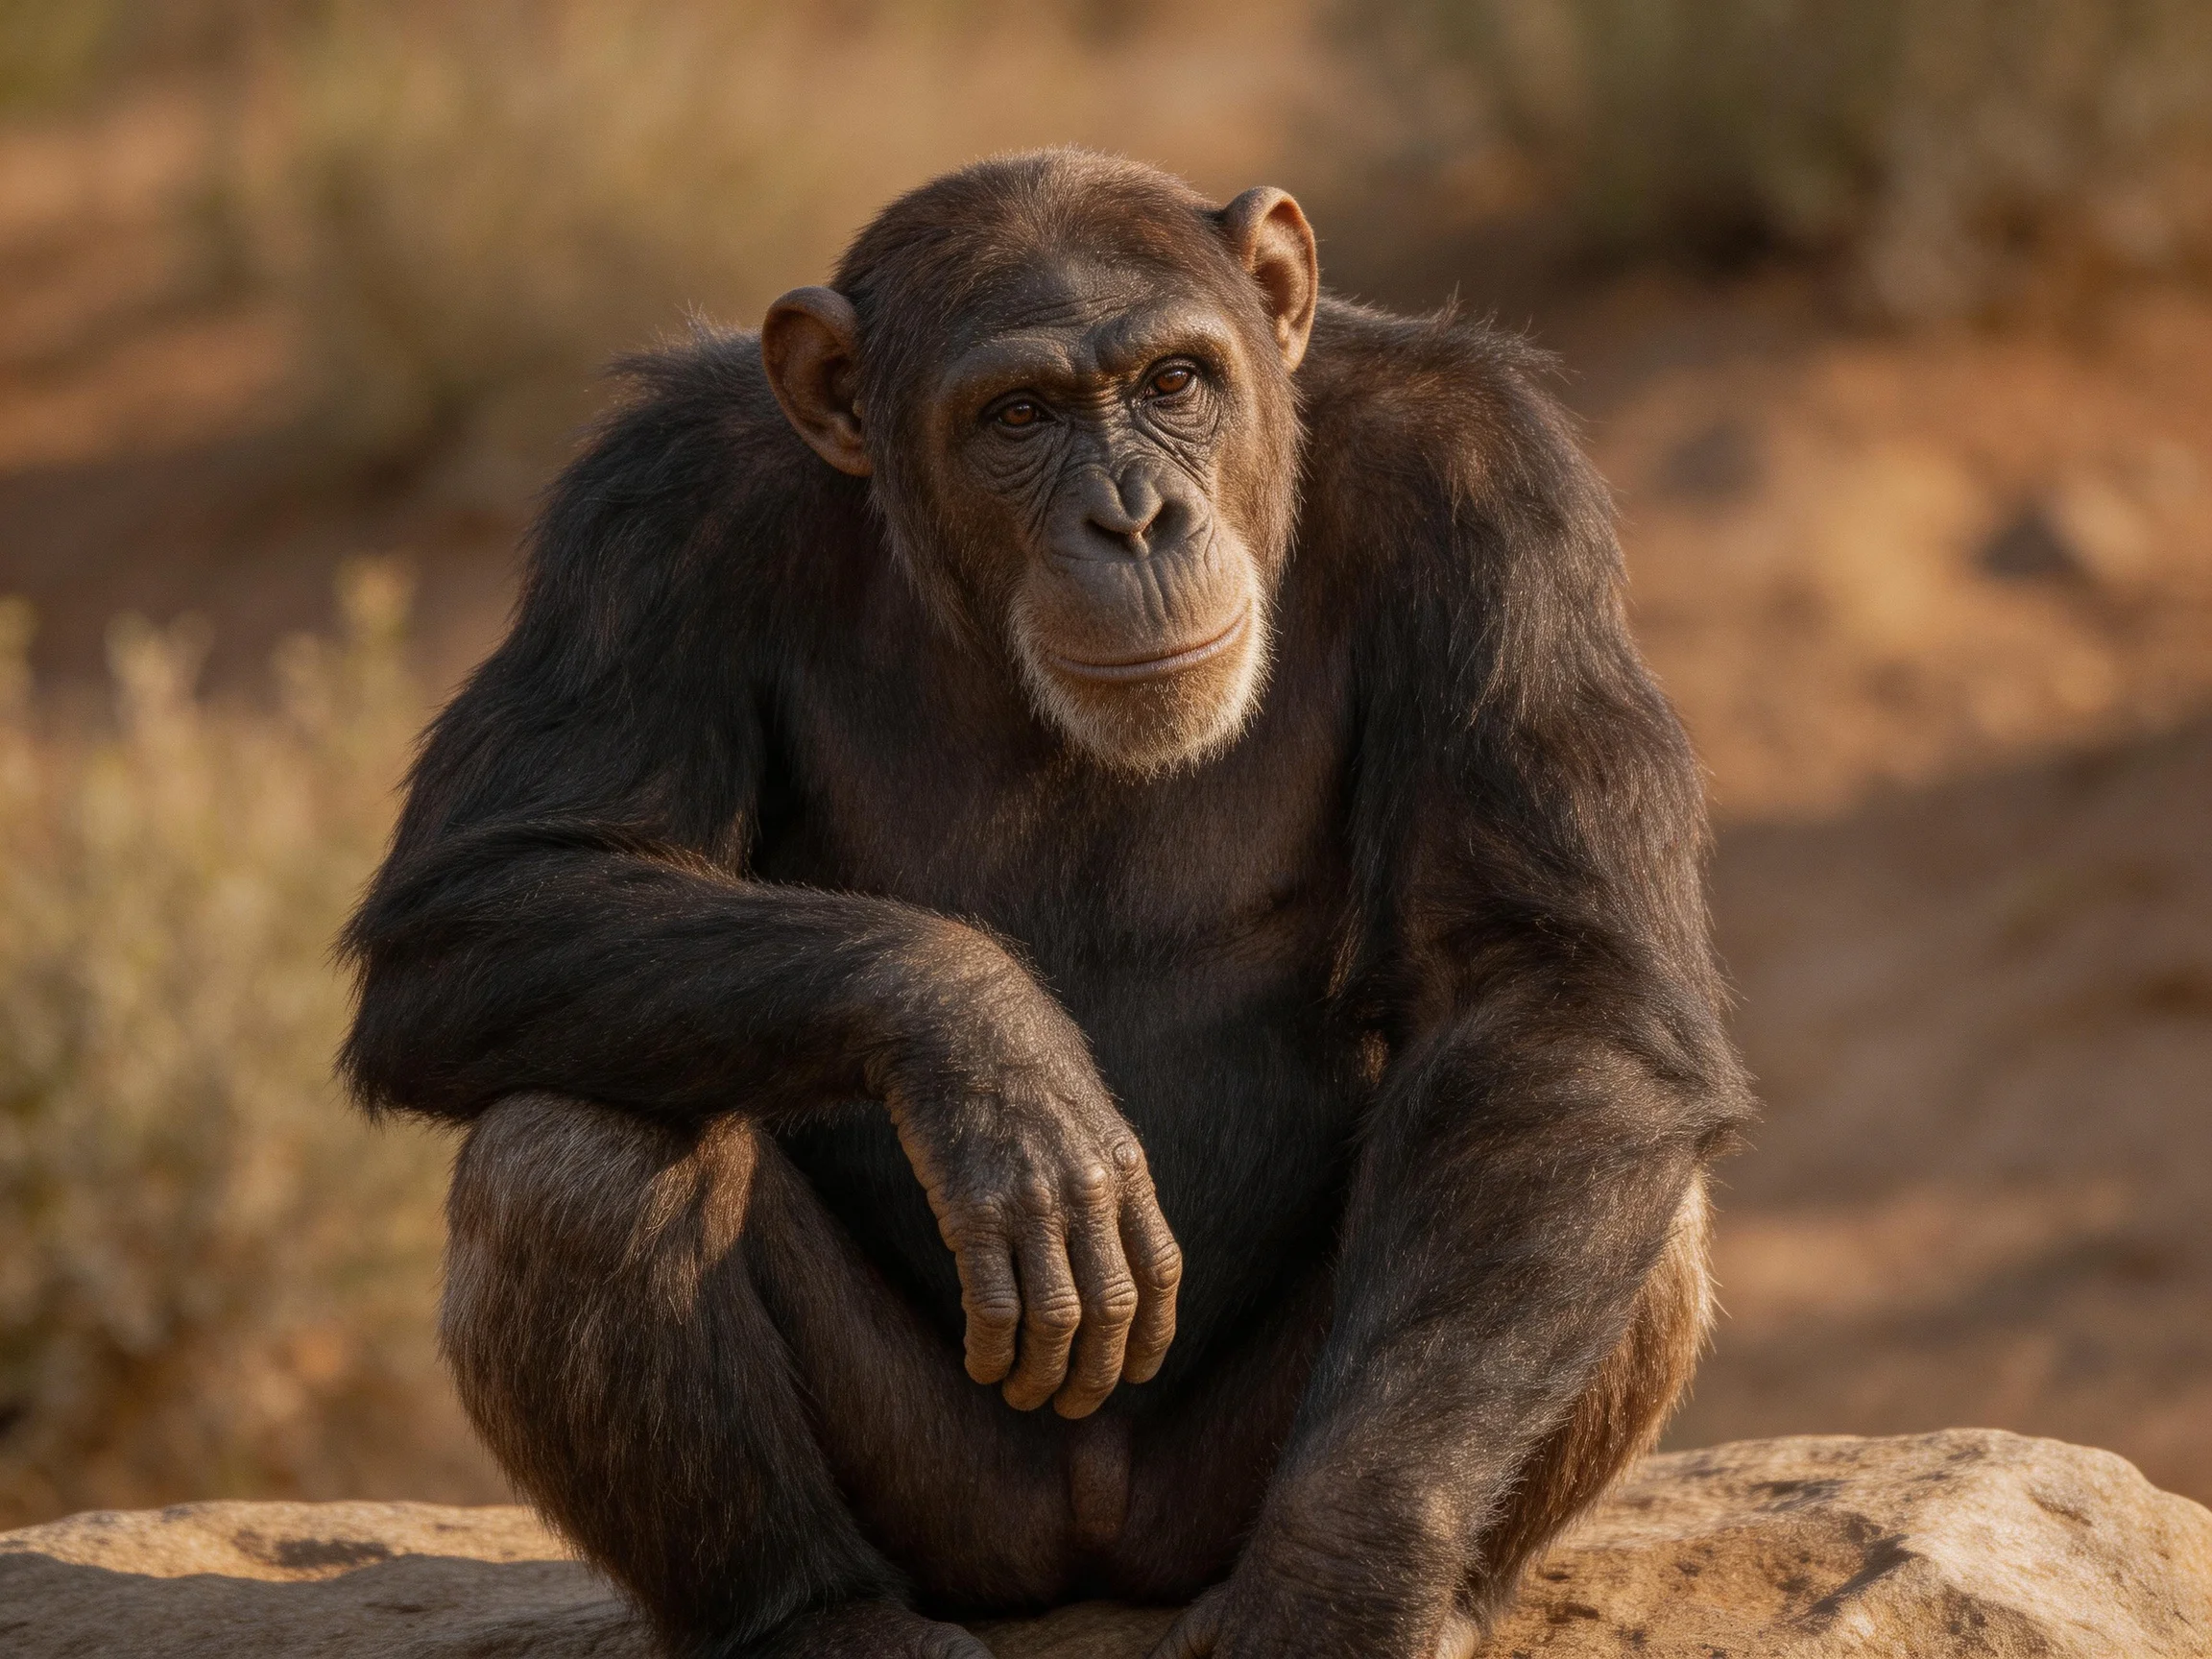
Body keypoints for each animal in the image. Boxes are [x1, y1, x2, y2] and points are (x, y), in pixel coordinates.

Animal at [341, 149, 1753, 1659]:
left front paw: (1341, 1584)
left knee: (1601, 1167)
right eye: (1016, 415)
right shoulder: (655, 504)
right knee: (574, 1148)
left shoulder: (1488, 477)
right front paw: (989, 1051)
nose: (1131, 516)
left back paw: (1444, 1601)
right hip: (959, 1509)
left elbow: (1552, 982)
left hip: (1210, 1503)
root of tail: (1092, 1545)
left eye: (1174, 382)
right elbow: (498, 881)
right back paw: (813, 1616)